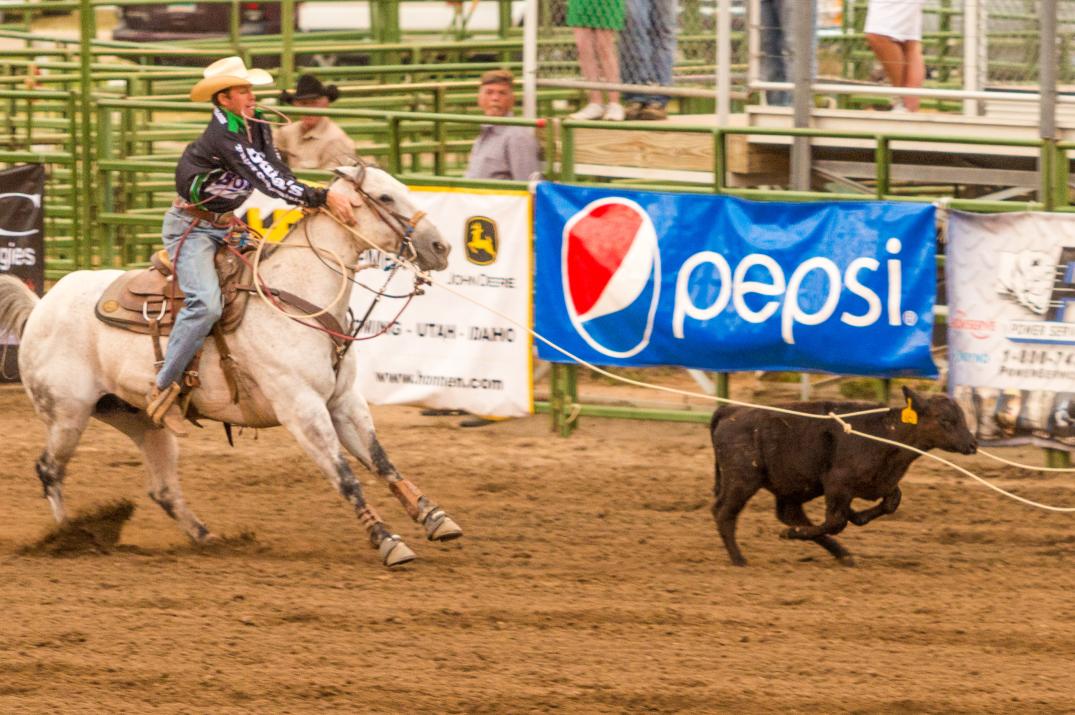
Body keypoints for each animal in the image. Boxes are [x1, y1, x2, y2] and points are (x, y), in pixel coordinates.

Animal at [0, 164, 462, 567]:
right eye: (384, 197)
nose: (440, 247)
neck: (296, 295)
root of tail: (41, 305)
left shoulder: (343, 401)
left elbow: (381, 461)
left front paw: (435, 518)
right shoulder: (302, 409)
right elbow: (344, 475)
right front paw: (387, 540)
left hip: (140, 420)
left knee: (162, 489)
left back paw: (207, 538)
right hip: (67, 413)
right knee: (49, 470)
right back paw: (68, 536)